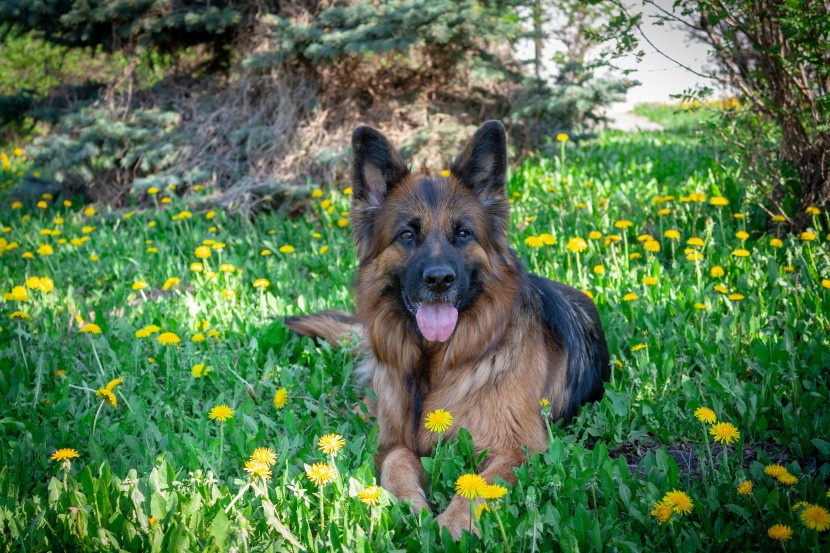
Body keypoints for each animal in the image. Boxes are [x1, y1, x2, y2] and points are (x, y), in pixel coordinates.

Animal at [286, 122, 612, 540]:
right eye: (407, 235)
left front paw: (448, 527)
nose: (439, 279)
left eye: (463, 234)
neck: (437, 363)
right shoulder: (395, 440)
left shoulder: (519, 447)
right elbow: (395, 463)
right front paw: (407, 507)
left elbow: (480, 486)